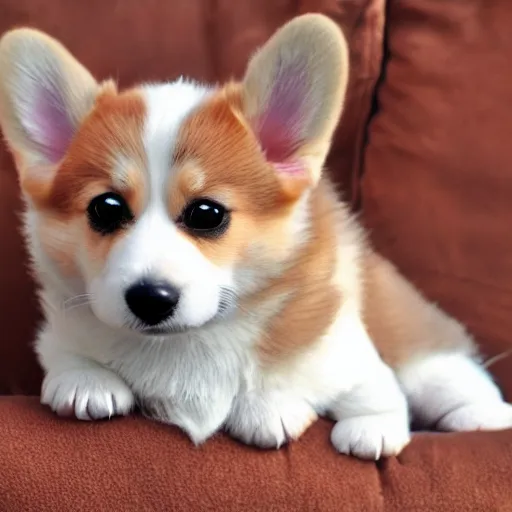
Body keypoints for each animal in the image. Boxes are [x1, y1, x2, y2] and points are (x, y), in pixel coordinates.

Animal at [0, 15, 510, 460]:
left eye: (207, 213)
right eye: (105, 208)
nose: (149, 298)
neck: (190, 343)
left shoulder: (347, 353)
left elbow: (369, 390)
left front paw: (343, 422)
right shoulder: (60, 332)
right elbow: (65, 354)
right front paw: (85, 380)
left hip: (421, 348)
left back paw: (483, 416)